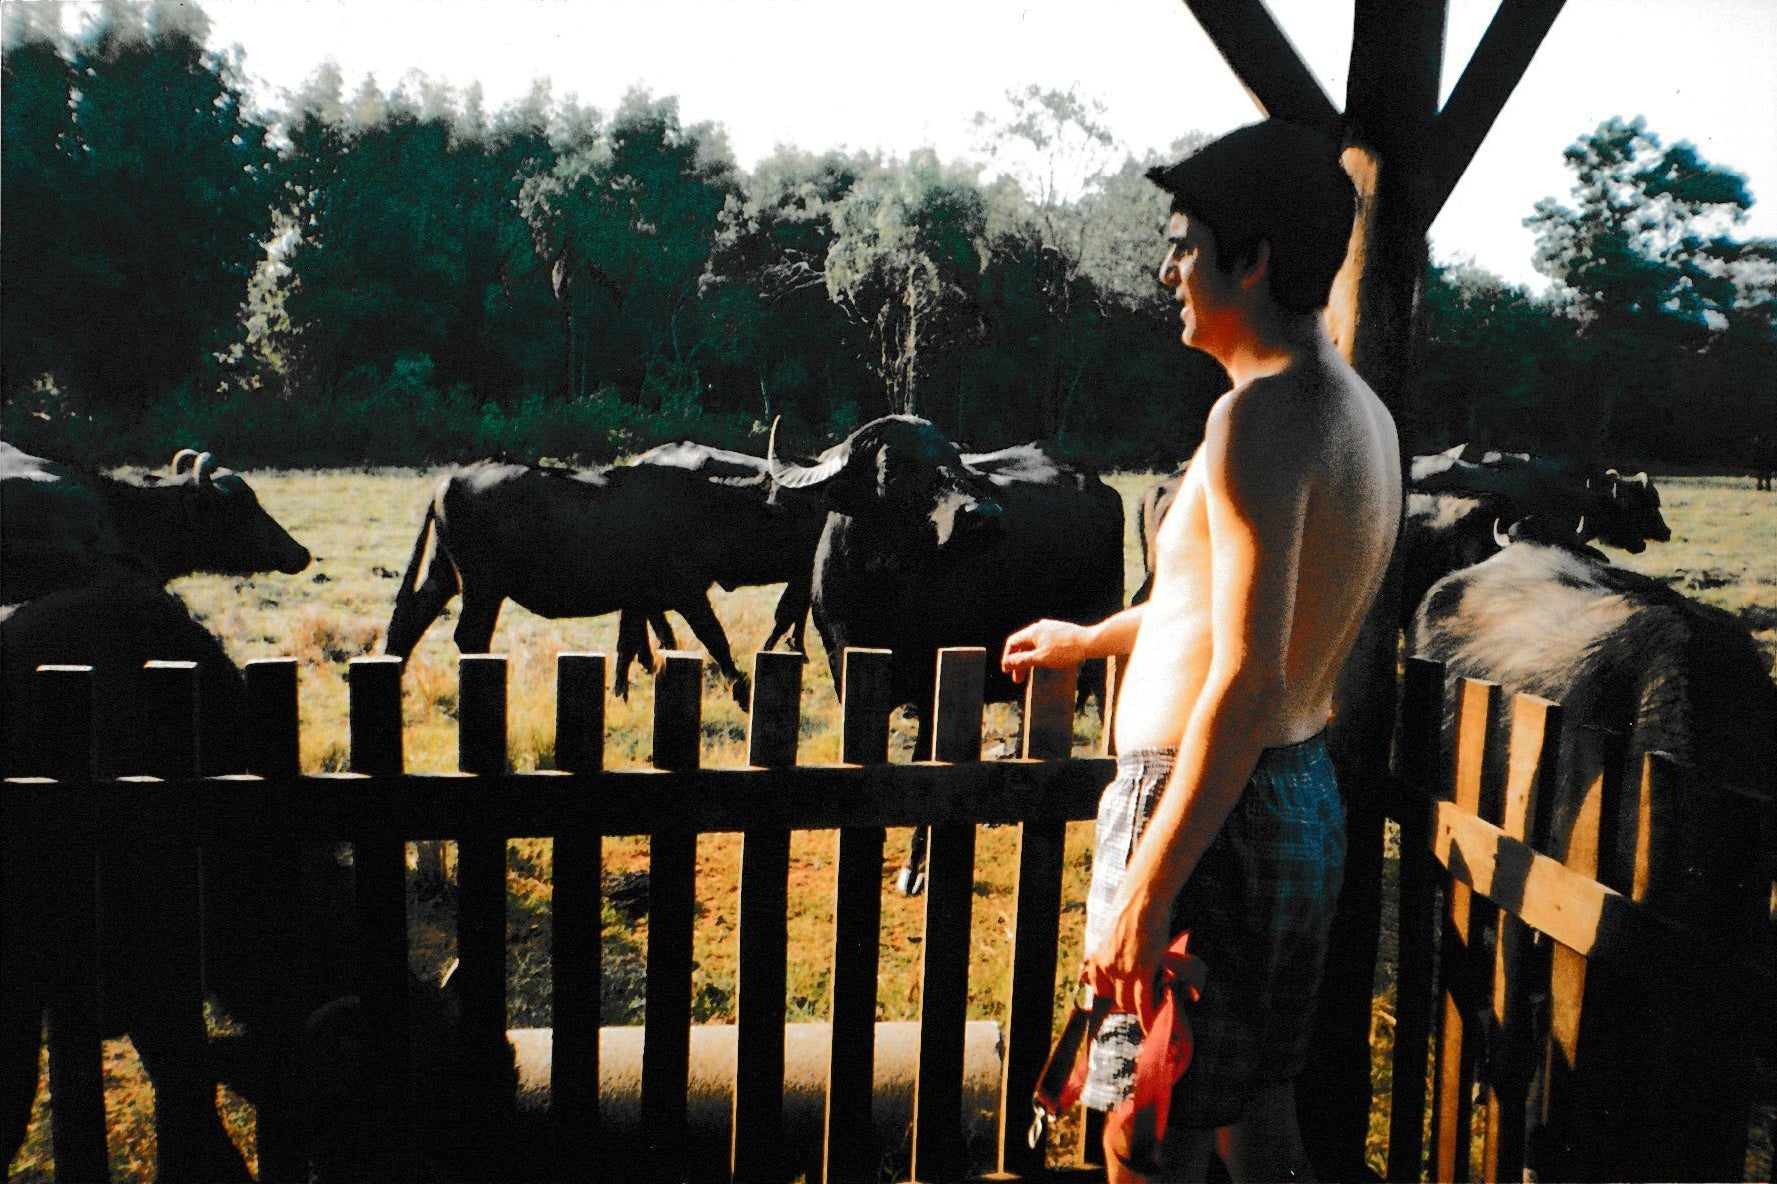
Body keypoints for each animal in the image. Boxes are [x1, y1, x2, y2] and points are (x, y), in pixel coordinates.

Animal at [383, 457, 824, 708]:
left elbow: (628, 646)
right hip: (483, 586)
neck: (708, 513)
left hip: (445, 575)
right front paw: (742, 691)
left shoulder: (638, 599)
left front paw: (620, 695)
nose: (810, 551)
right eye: (783, 518)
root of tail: (449, 482)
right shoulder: (686, 593)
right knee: (470, 636)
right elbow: (715, 638)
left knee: (407, 620)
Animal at [769, 416, 1124, 893]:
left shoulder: (934, 687)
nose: (984, 517)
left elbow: (927, 767)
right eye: (891, 469)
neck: (881, 592)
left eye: (955, 460)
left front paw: (915, 867)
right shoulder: (845, 672)